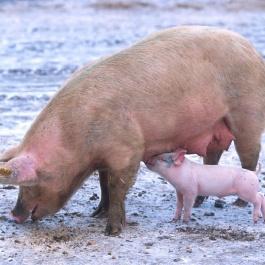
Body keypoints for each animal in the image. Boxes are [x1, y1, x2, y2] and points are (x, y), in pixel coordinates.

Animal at [0, 25, 264, 234]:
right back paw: (199, 202)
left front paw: (112, 230)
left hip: (248, 114)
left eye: (33, 181)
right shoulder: (104, 158)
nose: (13, 215)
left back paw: (238, 204)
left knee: (249, 156)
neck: (77, 140)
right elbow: (103, 184)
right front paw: (96, 214)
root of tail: (254, 52)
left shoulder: (127, 149)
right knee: (212, 156)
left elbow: (117, 186)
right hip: (215, 127)